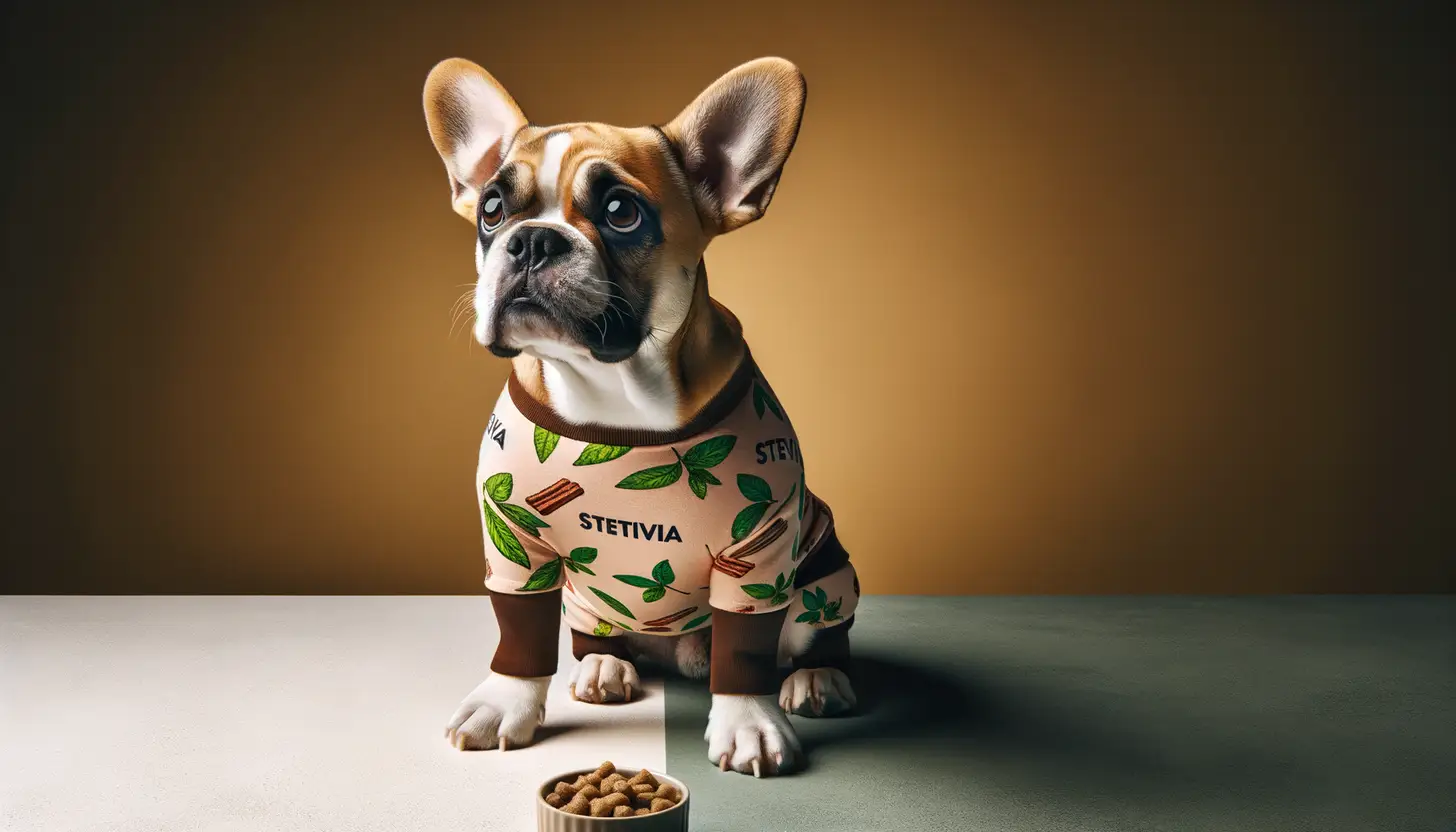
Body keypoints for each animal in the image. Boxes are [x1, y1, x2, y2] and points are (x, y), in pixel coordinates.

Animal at [422, 56, 856, 775]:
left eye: (621, 213)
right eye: (492, 209)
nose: (532, 240)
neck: (611, 394)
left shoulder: (759, 552)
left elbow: (745, 645)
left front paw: (748, 722)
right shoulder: (514, 546)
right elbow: (520, 631)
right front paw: (505, 702)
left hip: (826, 575)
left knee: (813, 633)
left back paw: (818, 678)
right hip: (584, 597)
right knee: (594, 634)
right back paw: (604, 665)